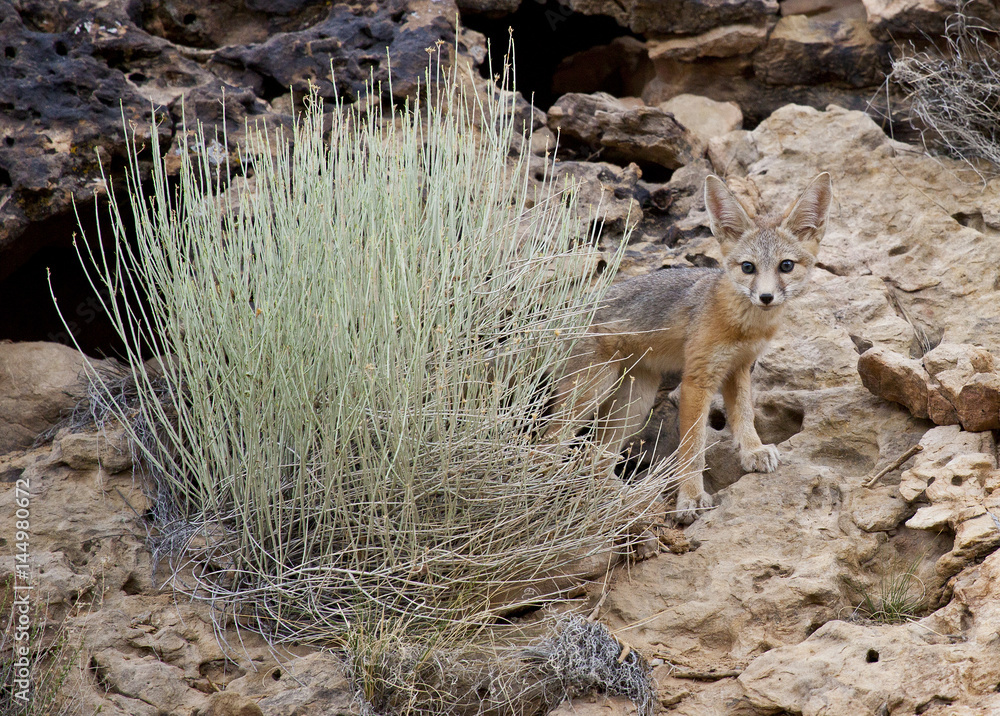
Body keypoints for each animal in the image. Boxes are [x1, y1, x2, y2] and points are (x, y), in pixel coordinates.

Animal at [545, 172, 833, 523]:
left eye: (786, 266)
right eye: (747, 267)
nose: (766, 297)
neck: (742, 325)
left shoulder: (737, 369)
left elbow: (745, 416)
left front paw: (753, 451)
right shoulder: (697, 380)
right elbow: (693, 447)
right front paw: (691, 498)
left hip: (634, 403)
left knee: (594, 460)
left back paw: (622, 499)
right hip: (591, 392)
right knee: (550, 442)